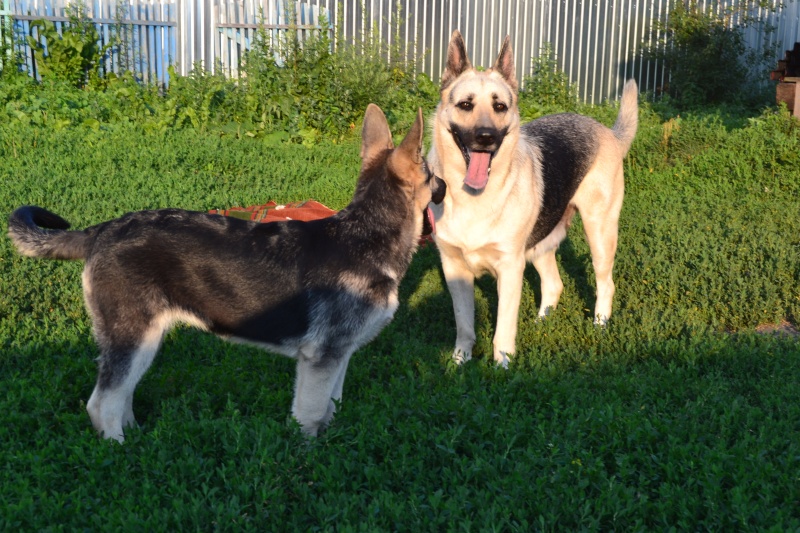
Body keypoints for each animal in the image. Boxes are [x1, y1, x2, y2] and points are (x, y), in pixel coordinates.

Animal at [6, 103, 444, 440]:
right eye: (430, 174)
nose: (444, 186)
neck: (366, 233)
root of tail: (101, 231)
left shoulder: (338, 357)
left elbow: (330, 409)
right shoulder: (321, 359)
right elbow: (309, 418)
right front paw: (307, 459)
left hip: (145, 338)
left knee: (121, 396)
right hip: (132, 336)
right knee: (102, 403)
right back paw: (121, 450)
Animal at [428, 31, 640, 368]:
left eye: (500, 106)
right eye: (465, 104)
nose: (486, 137)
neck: (473, 197)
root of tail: (606, 131)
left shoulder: (510, 269)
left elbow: (503, 329)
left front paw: (502, 366)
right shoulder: (454, 269)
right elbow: (464, 324)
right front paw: (459, 361)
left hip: (600, 233)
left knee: (606, 283)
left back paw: (600, 325)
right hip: (541, 243)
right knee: (554, 284)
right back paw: (542, 324)